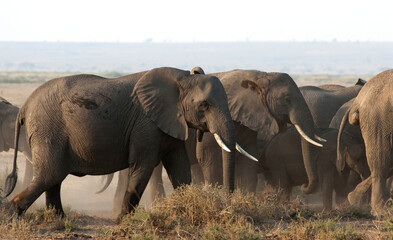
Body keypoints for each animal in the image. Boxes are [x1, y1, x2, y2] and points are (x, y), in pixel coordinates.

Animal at [4, 66, 243, 222]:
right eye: (205, 105)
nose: (229, 210)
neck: (182, 79)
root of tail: (24, 106)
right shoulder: (146, 123)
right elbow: (143, 167)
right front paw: (122, 221)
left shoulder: (171, 122)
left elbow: (180, 169)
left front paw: (185, 211)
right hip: (47, 130)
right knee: (50, 175)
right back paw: (12, 214)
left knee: (53, 178)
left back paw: (58, 219)